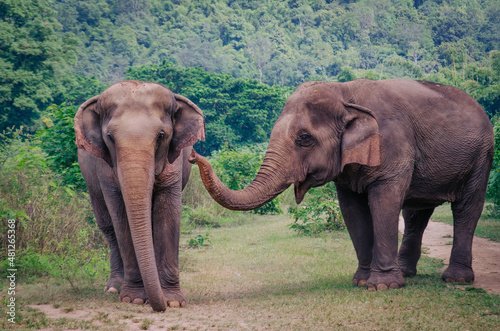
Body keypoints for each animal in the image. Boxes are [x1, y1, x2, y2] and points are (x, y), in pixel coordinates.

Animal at [73, 80, 205, 312]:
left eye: (161, 135)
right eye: (110, 137)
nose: (160, 306)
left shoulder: (173, 161)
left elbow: (168, 215)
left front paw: (173, 301)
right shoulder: (105, 167)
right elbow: (120, 215)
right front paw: (133, 299)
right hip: (90, 182)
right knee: (108, 226)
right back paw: (114, 288)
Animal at [189, 79, 494, 292]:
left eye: (304, 138)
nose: (193, 153)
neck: (346, 93)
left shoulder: (393, 147)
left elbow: (384, 203)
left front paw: (382, 285)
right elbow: (351, 210)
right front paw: (361, 281)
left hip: (482, 156)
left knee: (467, 208)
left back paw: (456, 279)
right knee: (416, 214)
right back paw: (407, 272)